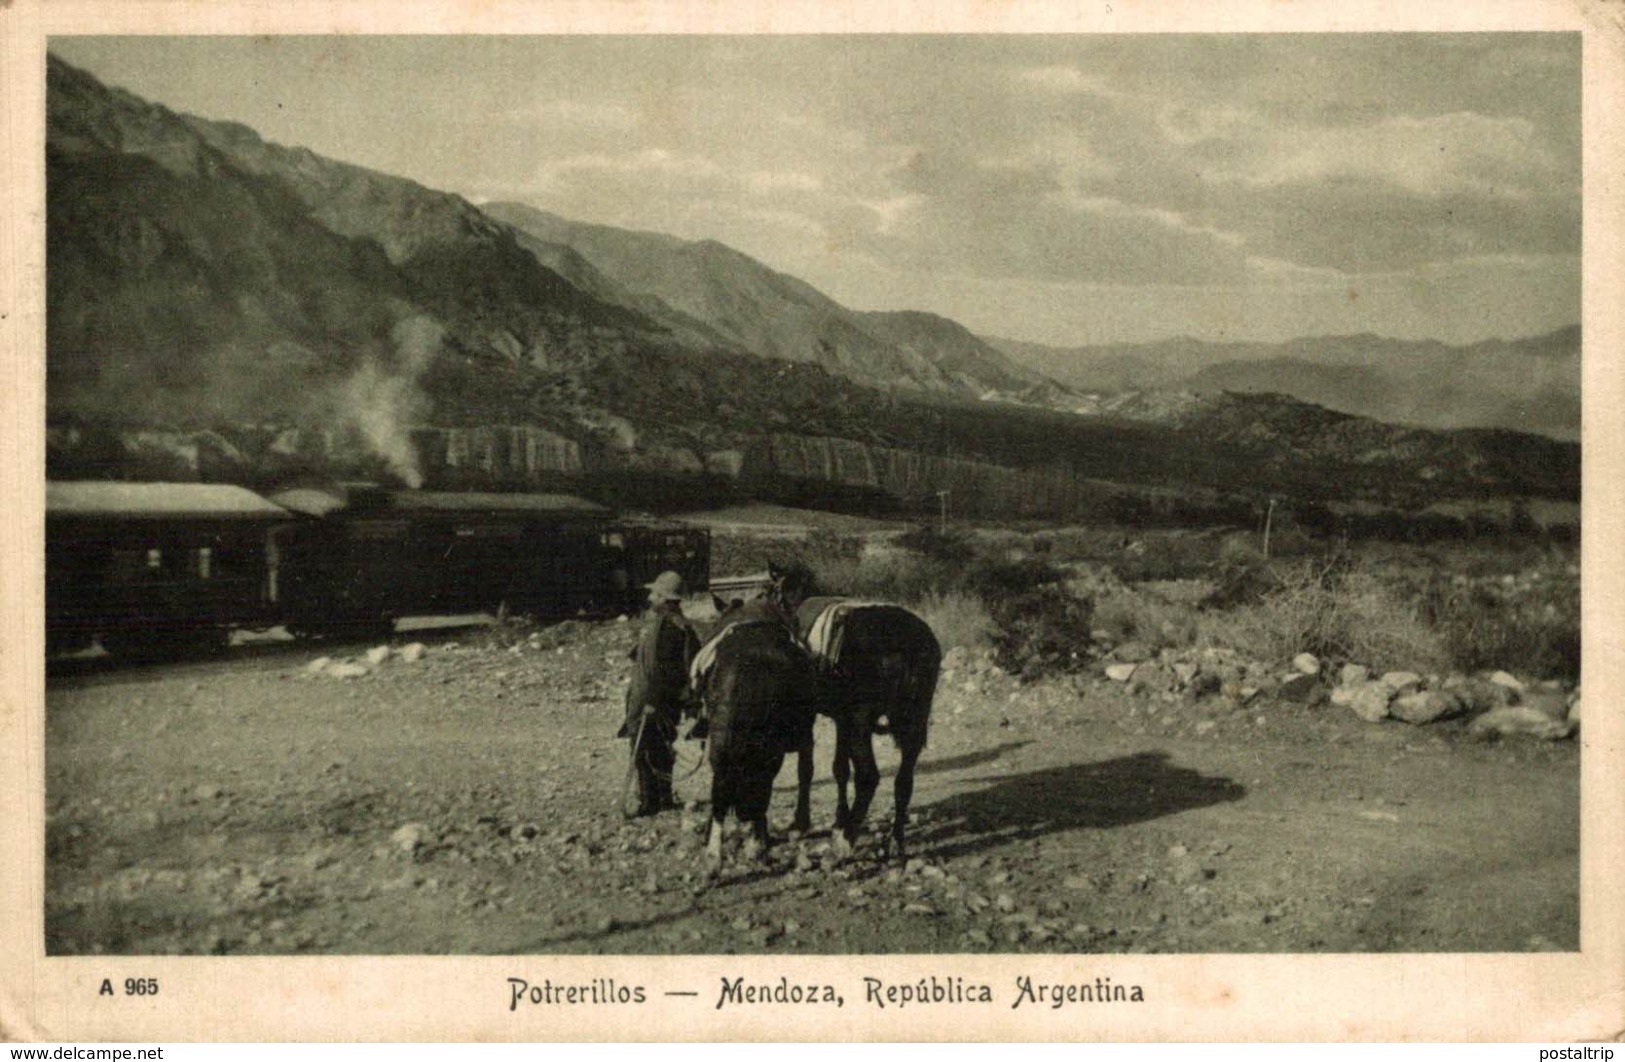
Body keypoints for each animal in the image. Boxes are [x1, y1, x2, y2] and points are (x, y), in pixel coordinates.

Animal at [689, 597, 819, 876]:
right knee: (759, 787)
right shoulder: (803, 737)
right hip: (769, 748)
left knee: (723, 788)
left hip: (723, 743)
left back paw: (715, 856)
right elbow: (804, 772)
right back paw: (755, 843)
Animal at [770, 565, 949, 863]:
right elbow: (840, 769)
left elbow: (807, 768)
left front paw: (803, 822)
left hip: (862, 722)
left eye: (773, 593)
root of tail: (904, 644)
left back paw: (847, 839)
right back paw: (895, 839)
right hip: (912, 720)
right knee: (903, 780)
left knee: (868, 777)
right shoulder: (842, 719)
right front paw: (838, 818)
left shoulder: (821, 716)